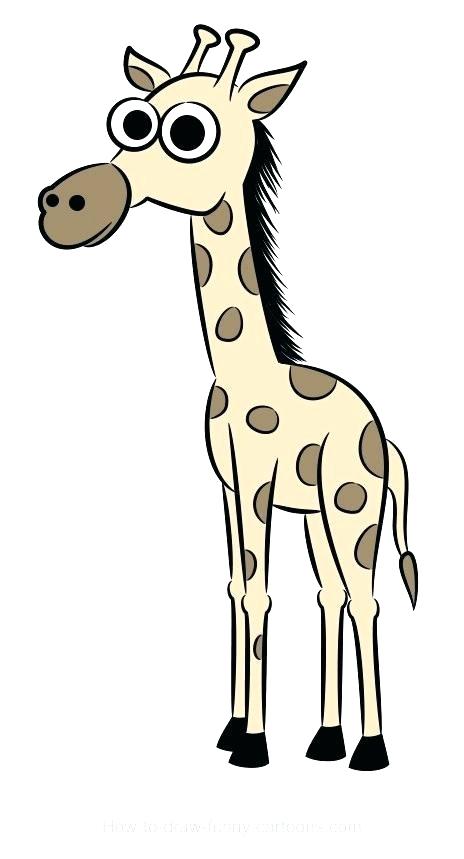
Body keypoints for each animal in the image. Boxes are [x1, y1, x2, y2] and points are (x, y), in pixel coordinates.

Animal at [38, 25, 418, 771]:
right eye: (131, 119)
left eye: (190, 132)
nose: (64, 205)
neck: (243, 372)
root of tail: (381, 433)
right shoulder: (228, 484)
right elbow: (238, 587)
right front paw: (232, 728)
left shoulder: (259, 482)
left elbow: (261, 593)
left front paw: (254, 745)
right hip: (318, 511)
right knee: (332, 593)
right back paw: (326, 740)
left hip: (352, 502)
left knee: (365, 597)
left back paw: (370, 748)